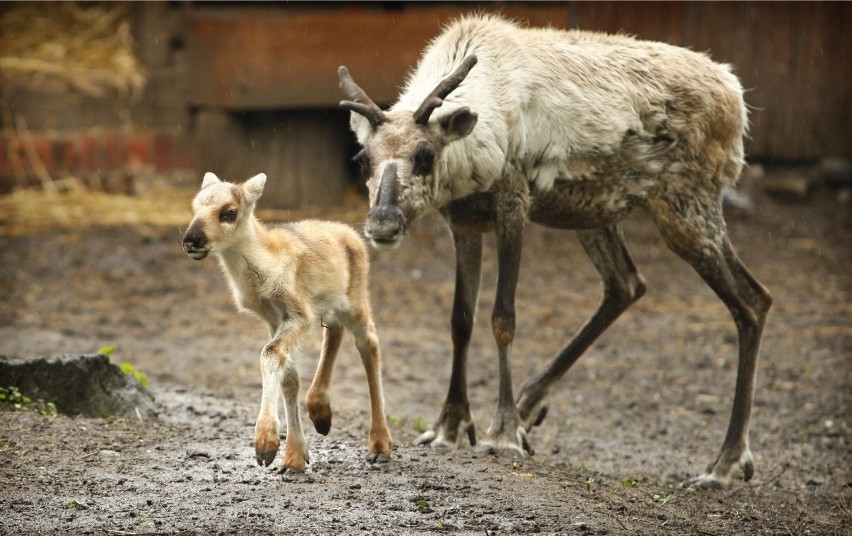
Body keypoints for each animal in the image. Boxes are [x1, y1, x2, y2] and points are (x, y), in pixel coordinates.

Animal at [182, 173, 392, 474]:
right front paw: (293, 458)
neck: (265, 265)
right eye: (194, 208)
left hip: (356, 299)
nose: (191, 240)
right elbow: (288, 375)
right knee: (335, 330)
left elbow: (270, 353)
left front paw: (266, 446)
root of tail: (352, 234)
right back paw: (321, 414)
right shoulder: (273, 317)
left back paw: (380, 446)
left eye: (229, 212)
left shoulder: (299, 312)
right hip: (330, 303)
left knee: (369, 344)